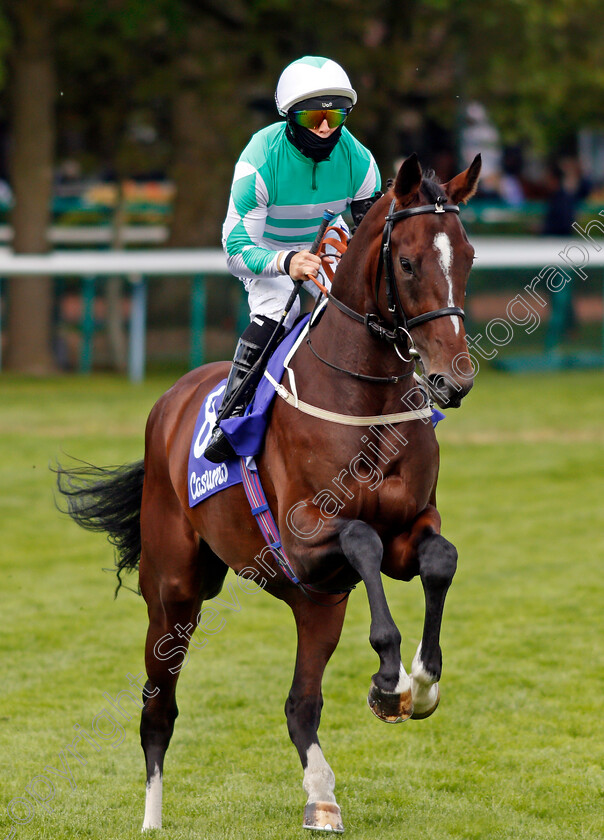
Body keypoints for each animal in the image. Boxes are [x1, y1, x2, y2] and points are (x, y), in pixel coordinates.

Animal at [56, 153, 482, 832]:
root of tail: (170, 402)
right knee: (158, 707)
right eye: (410, 262)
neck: (365, 403)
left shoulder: (406, 530)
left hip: (317, 605)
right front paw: (390, 681)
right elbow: (361, 538)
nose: (454, 379)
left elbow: (440, 558)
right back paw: (151, 819)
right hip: (174, 594)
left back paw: (322, 796)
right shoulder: (305, 541)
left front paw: (419, 684)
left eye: (467, 256)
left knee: (299, 704)